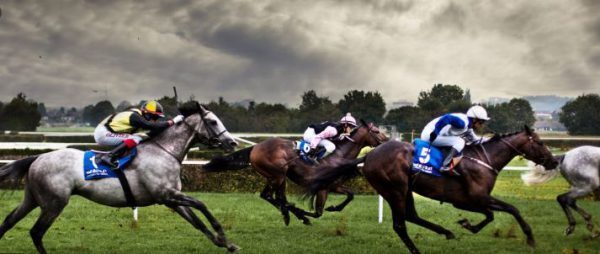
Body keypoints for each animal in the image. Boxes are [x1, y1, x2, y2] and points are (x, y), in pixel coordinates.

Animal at [0, 102, 239, 253]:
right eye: (213, 122)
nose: (232, 142)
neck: (164, 151)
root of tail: (38, 157)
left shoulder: (171, 198)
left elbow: (197, 221)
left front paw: (226, 244)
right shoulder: (166, 194)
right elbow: (202, 204)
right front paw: (221, 234)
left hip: (32, 199)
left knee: (9, 221)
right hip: (54, 202)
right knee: (36, 232)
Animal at [204, 120, 386, 225]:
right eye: (377, 131)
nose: (387, 142)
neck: (339, 155)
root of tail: (255, 147)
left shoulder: (331, 185)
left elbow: (350, 195)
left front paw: (333, 208)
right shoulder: (321, 186)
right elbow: (317, 212)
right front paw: (304, 214)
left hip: (279, 177)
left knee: (278, 198)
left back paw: (288, 214)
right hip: (277, 175)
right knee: (269, 196)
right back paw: (293, 214)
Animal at [310, 126, 556, 253]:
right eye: (540, 142)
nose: (554, 162)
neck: (484, 159)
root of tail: (368, 155)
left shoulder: (470, 200)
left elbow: (490, 214)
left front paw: (467, 224)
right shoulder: (476, 197)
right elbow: (510, 209)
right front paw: (530, 238)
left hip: (405, 189)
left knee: (411, 216)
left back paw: (446, 232)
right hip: (394, 189)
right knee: (400, 224)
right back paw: (418, 250)